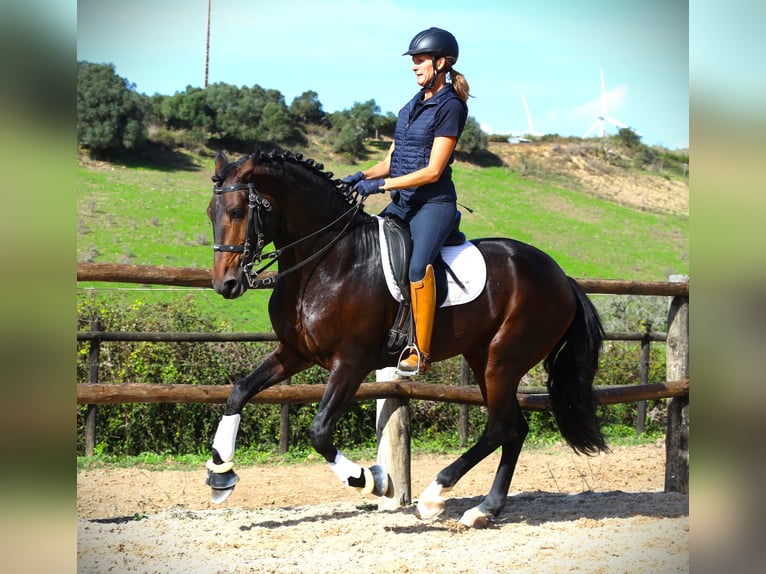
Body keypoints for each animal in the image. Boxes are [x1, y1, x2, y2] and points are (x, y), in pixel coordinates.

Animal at [206, 150, 612, 532]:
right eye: (212, 212)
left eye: (238, 211)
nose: (226, 285)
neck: (326, 260)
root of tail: (561, 277)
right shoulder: (294, 353)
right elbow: (238, 392)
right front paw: (220, 473)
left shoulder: (351, 362)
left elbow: (319, 432)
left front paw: (373, 480)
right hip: (483, 358)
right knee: (514, 428)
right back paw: (484, 510)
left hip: (504, 359)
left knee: (501, 427)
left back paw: (434, 497)